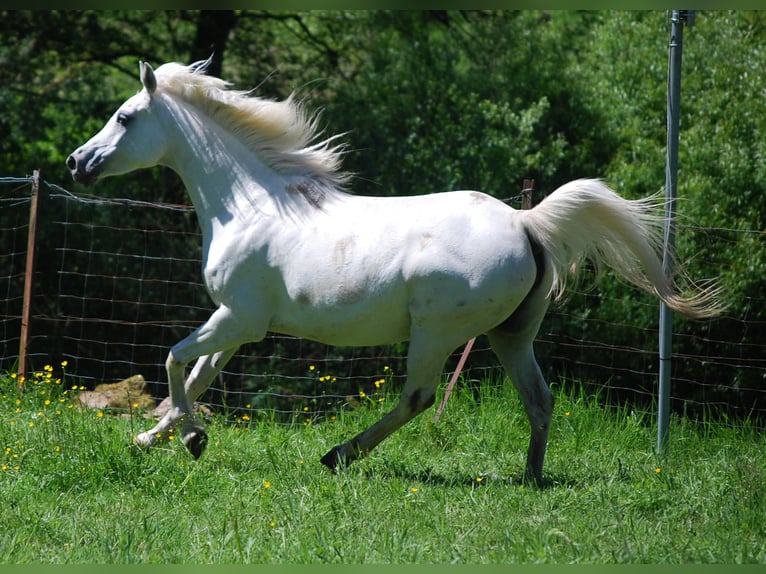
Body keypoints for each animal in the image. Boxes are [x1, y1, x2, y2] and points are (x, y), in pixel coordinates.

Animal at [67, 60, 728, 486]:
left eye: (125, 117)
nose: (76, 162)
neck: (252, 205)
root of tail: (527, 224)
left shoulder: (240, 319)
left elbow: (175, 360)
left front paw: (192, 440)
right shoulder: (235, 322)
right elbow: (199, 375)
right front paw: (153, 438)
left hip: (436, 333)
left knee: (418, 396)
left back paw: (340, 456)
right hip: (511, 334)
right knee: (539, 401)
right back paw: (530, 478)